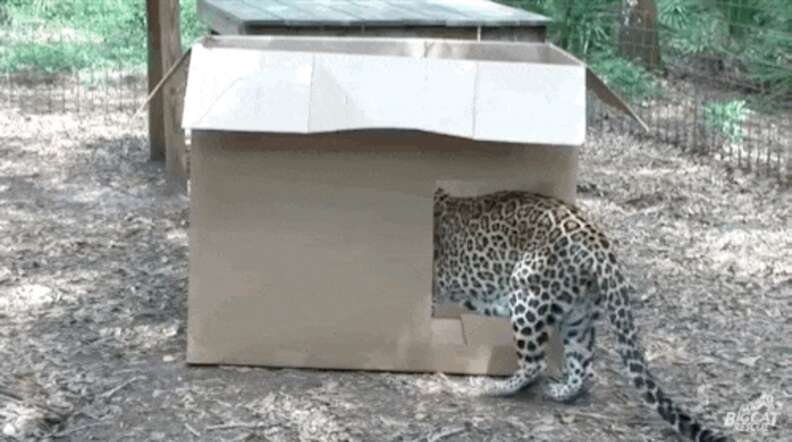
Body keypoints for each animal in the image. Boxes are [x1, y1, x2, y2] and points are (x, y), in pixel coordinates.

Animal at [434, 187, 732, 442]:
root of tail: (598, 241)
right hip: (578, 315)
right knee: (583, 366)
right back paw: (560, 392)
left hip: (526, 298)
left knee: (535, 362)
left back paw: (494, 387)